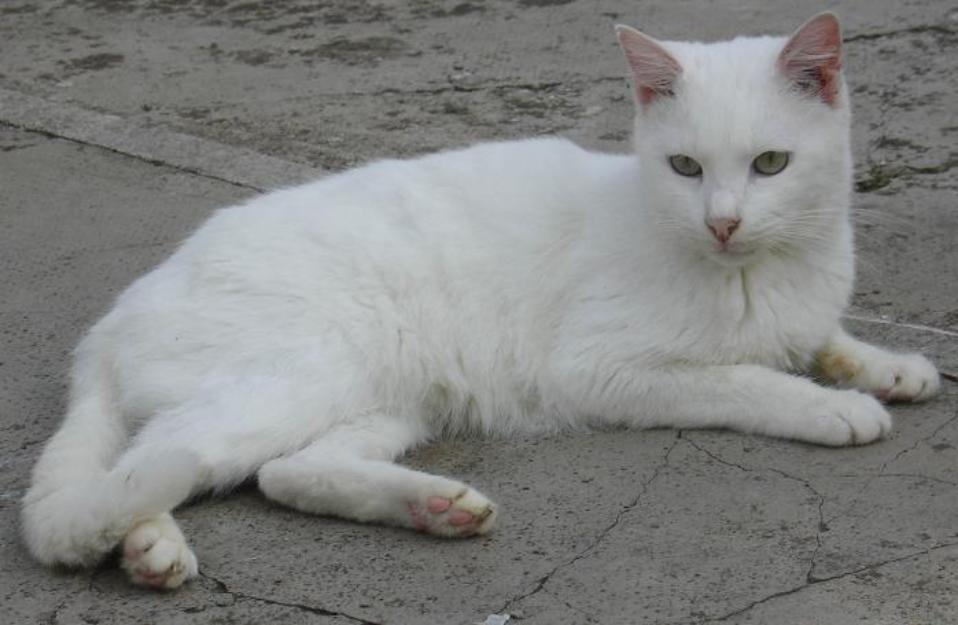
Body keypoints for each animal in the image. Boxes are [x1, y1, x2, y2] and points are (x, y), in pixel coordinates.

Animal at [18, 12, 940, 588]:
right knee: (147, 462)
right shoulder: (598, 368)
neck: (760, 269)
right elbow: (745, 377)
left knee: (284, 472)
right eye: (685, 167)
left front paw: (890, 366)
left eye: (771, 164)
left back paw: (432, 506)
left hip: (385, 393)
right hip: (297, 374)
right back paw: (147, 539)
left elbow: (820, 336)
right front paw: (833, 406)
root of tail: (113, 319)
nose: (722, 221)